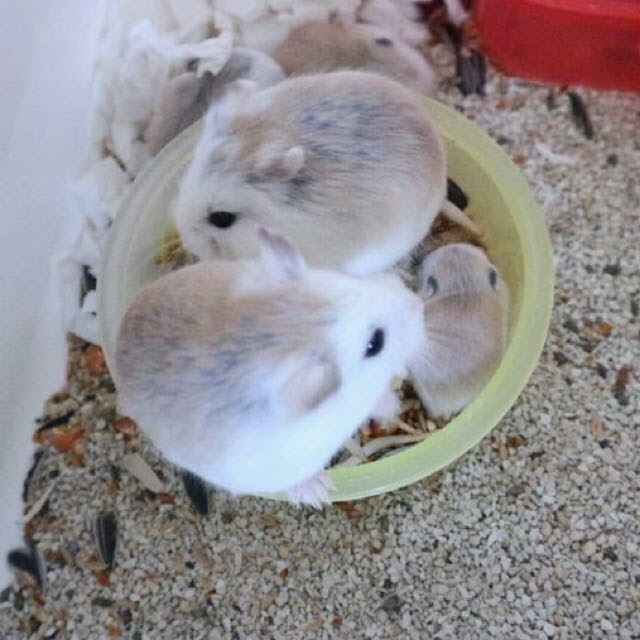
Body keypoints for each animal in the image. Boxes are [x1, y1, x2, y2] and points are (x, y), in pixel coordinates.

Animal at [115, 228, 425, 507]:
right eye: (375, 343)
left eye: (349, 281)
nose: (418, 304)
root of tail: (119, 337)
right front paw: (319, 493)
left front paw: (393, 404)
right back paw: (318, 490)